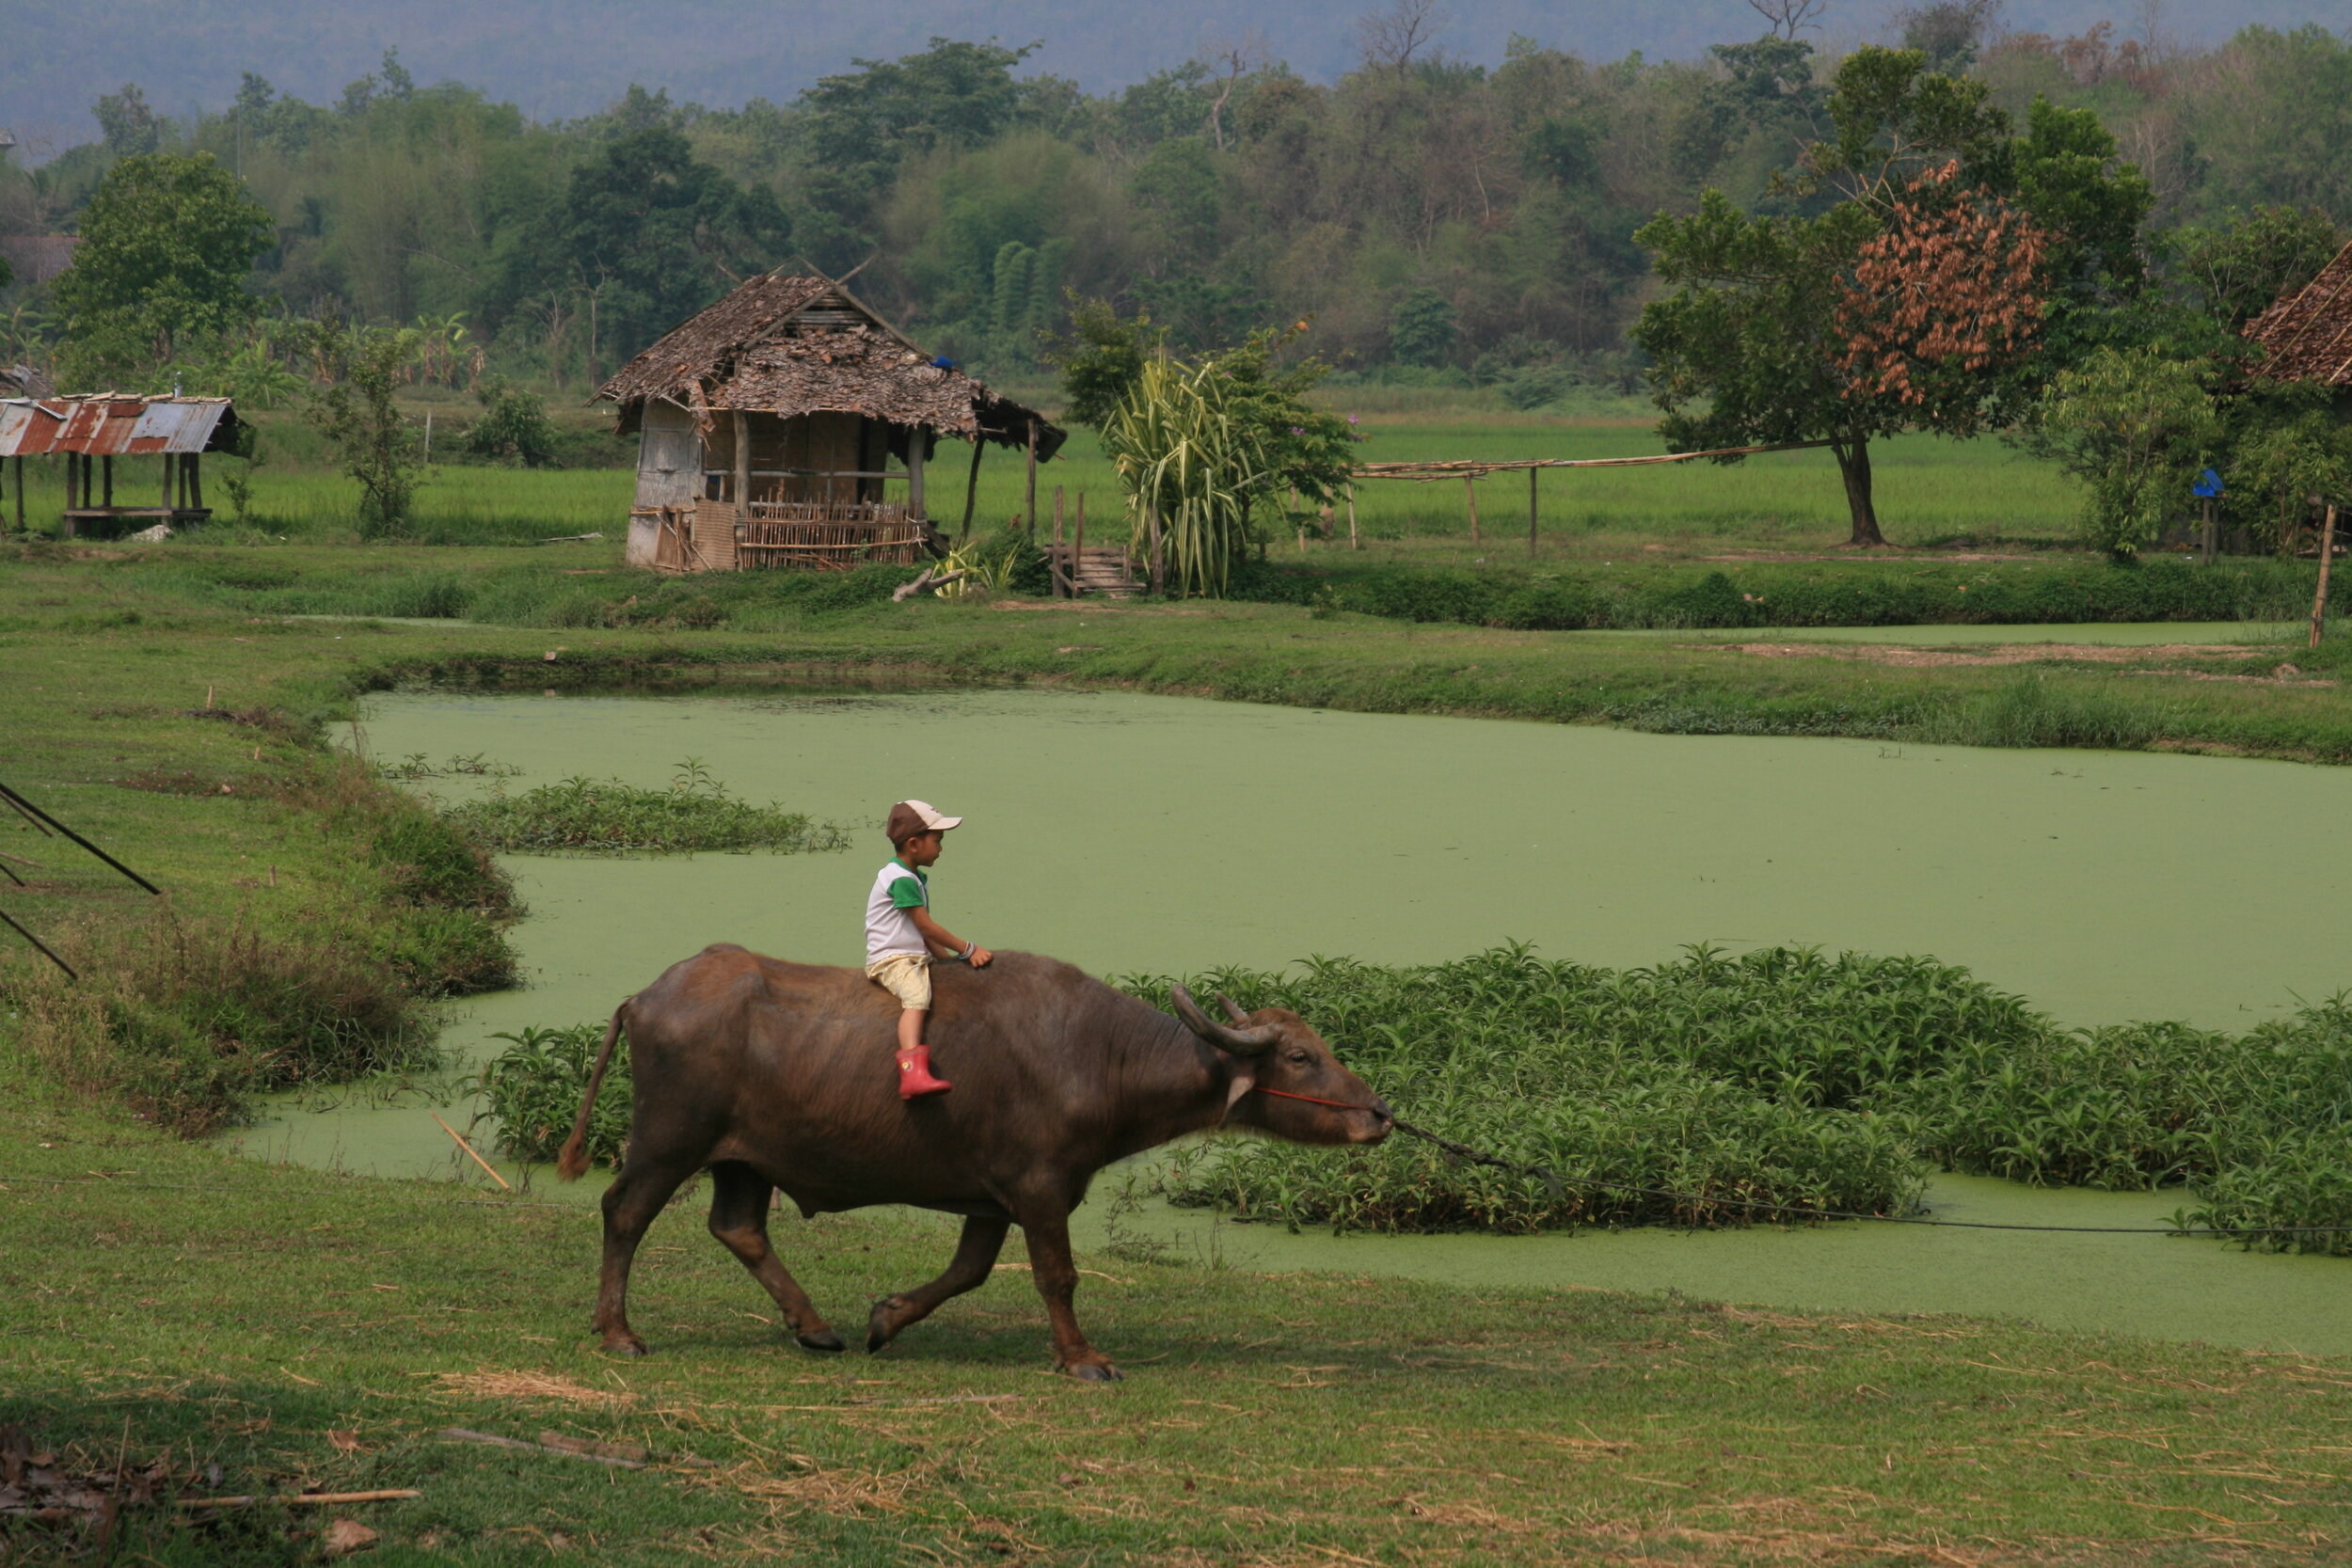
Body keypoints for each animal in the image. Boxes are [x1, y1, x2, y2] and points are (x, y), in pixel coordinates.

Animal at [557, 944, 1383, 1372]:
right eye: (1302, 1056)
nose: (1378, 1113)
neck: (1098, 1056)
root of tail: (645, 996)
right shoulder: (1042, 1187)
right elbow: (1057, 1275)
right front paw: (1082, 1357)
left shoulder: (991, 1199)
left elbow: (969, 1271)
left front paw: (885, 1318)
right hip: (670, 1139)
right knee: (624, 1211)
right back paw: (619, 1330)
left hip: (744, 1159)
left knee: (738, 1227)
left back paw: (814, 1325)